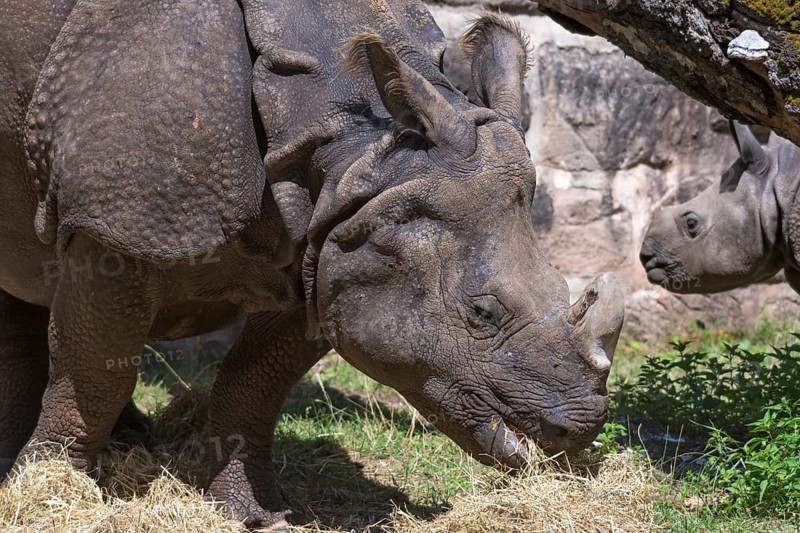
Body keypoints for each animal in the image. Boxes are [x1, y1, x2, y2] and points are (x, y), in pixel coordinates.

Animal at [0, 0, 624, 527]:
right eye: (483, 313)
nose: (579, 427)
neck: (358, 149)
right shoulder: (115, 229)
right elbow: (93, 369)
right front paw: (50, 493)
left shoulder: (333, 245)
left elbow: (255, 384)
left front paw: (256, 515)